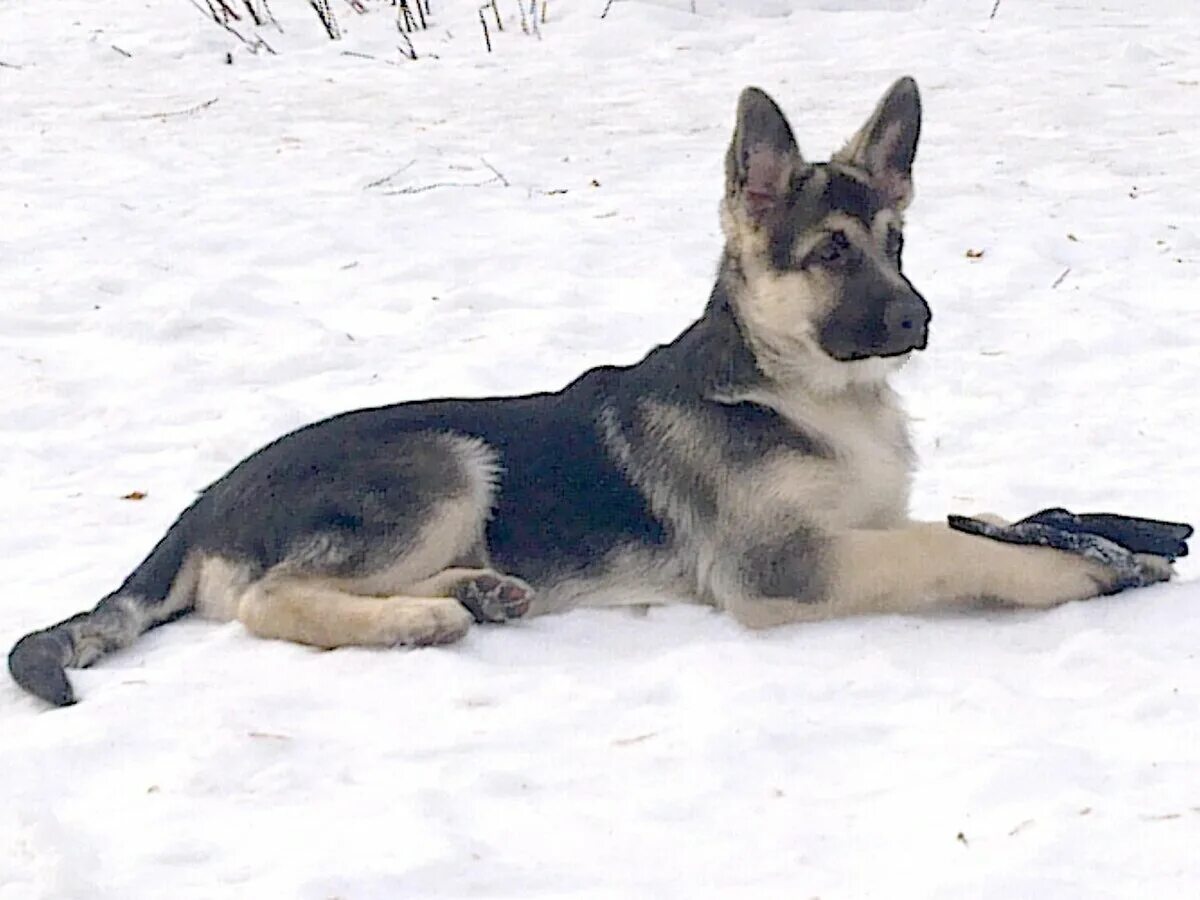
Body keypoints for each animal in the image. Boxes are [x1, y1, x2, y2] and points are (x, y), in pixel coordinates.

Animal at [9, 77, 1171, 710]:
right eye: (832, 253)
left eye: (895, 243)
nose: (918, 320)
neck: (800, 390)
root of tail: (202, 503)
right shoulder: (783, 564)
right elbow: (950, 546)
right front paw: (1079, 570)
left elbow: (982, 522)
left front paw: (1074, 532)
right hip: (441, 462)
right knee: (267, 600)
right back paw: (419, 622)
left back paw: (477, 592)